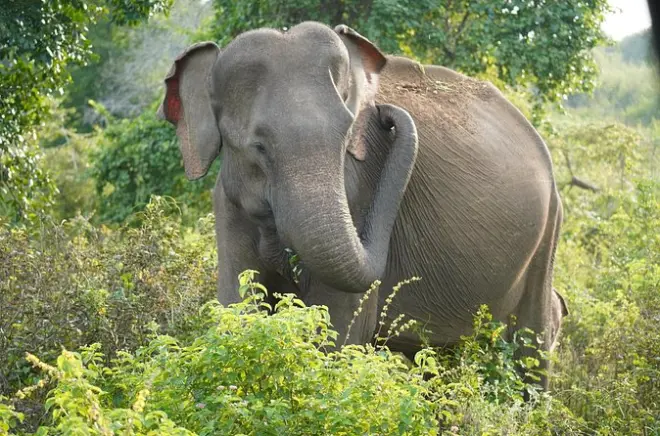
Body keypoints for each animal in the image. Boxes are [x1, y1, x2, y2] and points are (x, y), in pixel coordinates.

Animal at [157, 21, 567, 389]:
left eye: (347, 135)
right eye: (259, 147)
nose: (386, 115)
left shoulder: (357, 192)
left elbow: (336, 333)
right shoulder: (227, 206)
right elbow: (237, 308)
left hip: (546, 238)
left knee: (530, 350)